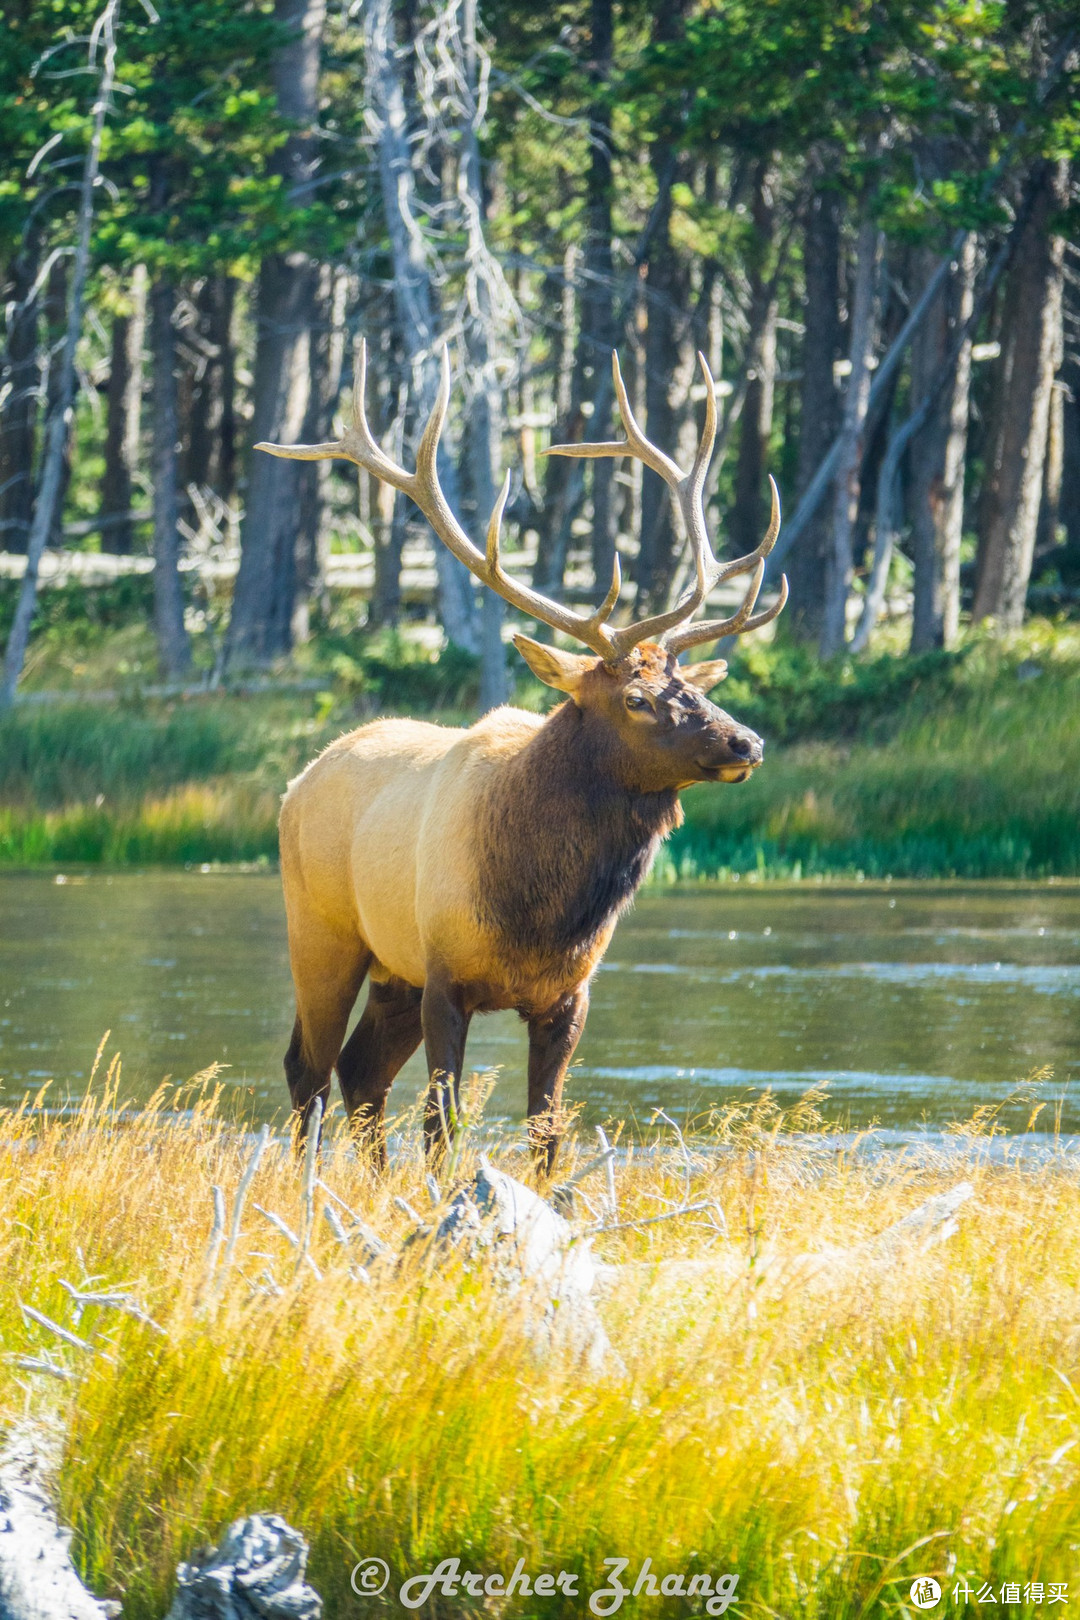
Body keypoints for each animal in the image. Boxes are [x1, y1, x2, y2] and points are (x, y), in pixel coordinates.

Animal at [262, 348, 786, 1172]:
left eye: (694, 688)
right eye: (637, 698)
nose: (747, 743)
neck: (542, 909)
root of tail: (298, 781)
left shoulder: (567, 996)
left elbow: (548, 1132)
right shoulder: (446, 976)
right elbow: (443, 1125)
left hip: (391, 971)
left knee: (358, 1071)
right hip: (322, 932)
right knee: (307, 1068)